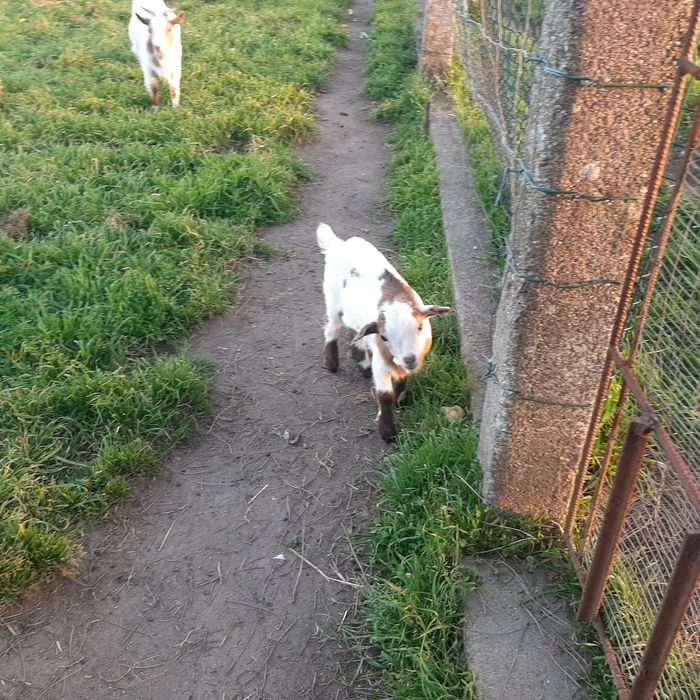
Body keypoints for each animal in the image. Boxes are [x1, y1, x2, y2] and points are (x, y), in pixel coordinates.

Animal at [317, 223, 451, 442]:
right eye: (385, 337)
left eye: (420, 327)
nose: (410, 359)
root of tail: (337, 244)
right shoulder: (381, 361)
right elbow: (384, 395)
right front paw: (387, 431)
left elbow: (401, 382)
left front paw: (400, 401)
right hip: (332, 299)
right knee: (333, 328)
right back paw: (332, 364)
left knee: (354, 332)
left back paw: (362, 364)